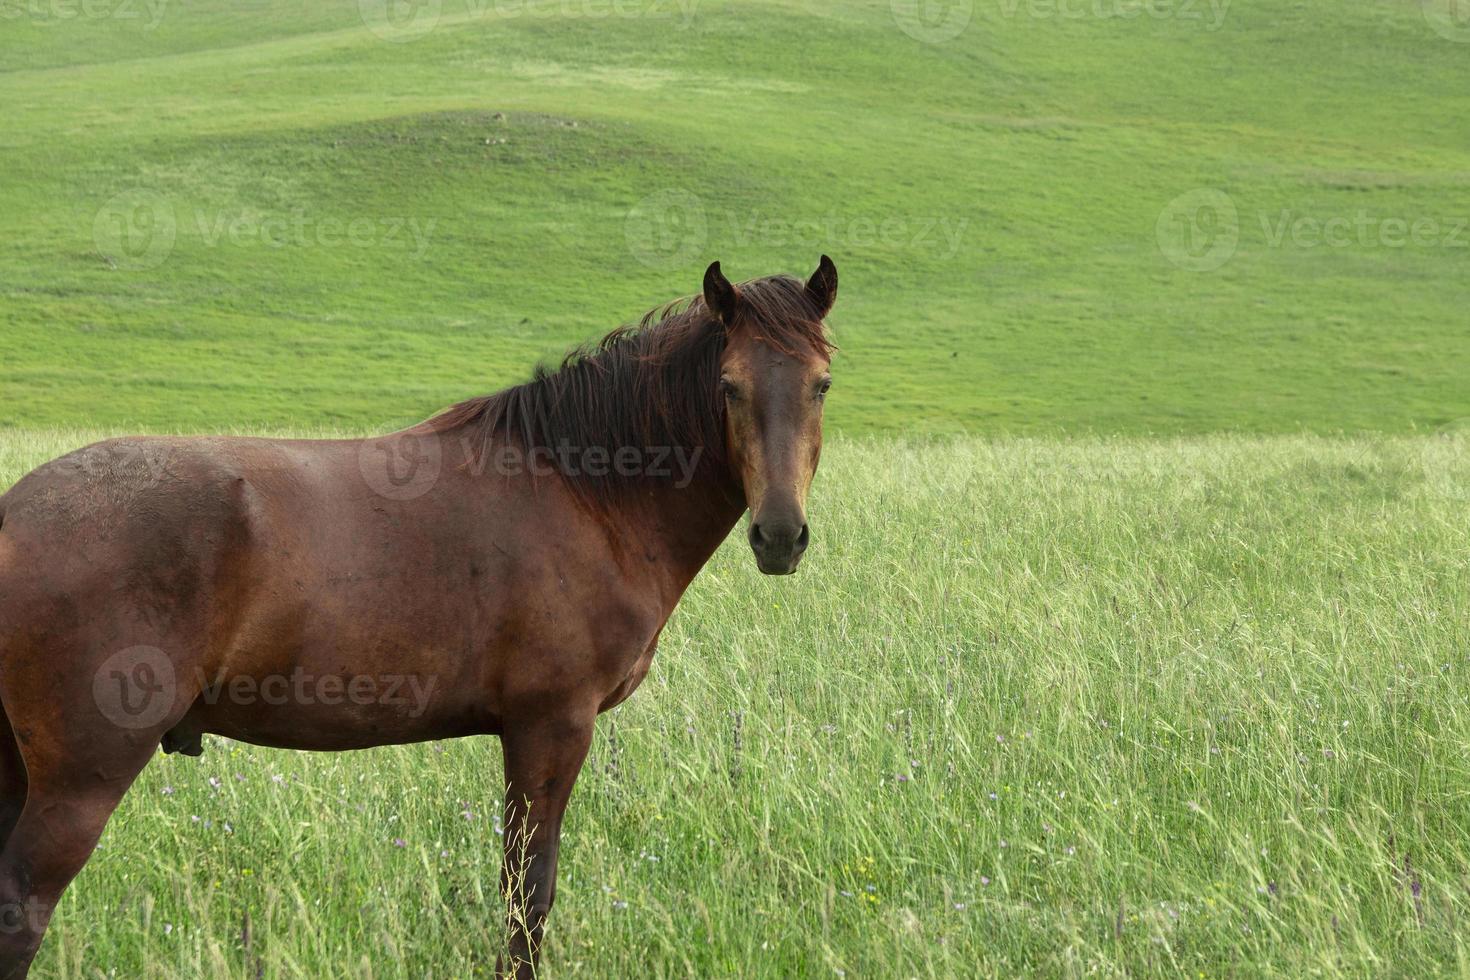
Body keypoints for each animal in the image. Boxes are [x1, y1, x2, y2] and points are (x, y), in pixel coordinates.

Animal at [0, 257, 840, 975]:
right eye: (729, 387)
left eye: (822, 384)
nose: (779, 536)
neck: (584, 492)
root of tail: (13, 513)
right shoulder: (551, 726)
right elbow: (528, 896)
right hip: (79, 782)